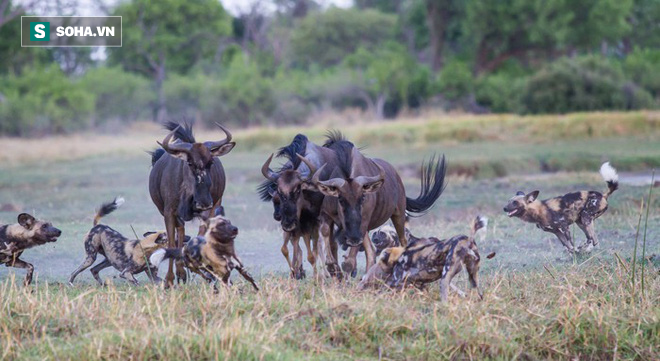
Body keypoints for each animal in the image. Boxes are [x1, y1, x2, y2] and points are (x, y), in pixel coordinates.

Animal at [358, 215, 488, 302]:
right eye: (376, 232)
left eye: (382, 233)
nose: (373, 235)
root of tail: (468, 240)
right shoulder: (417, 282)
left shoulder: (395, 281)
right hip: (472, 276)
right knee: (478, 293)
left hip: (445, 277)